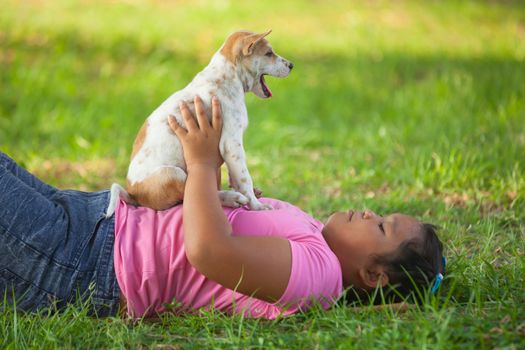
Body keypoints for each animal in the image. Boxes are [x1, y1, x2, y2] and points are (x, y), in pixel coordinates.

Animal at [105, 30, 294, 216]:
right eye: (269, 53)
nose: (292, 65)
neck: (228, 75)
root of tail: (133, 194)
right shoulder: (232, 143)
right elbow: (244, 177)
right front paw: (257, 206)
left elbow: (236, 174)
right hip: (173, 173)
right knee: (189, 195)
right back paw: (231, 198)